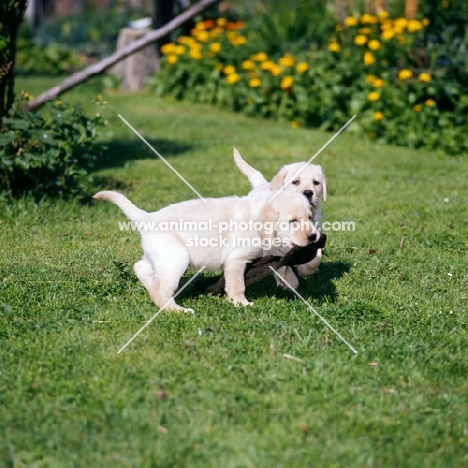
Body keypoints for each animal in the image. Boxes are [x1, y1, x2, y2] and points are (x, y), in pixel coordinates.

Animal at [92, 188, 318, 312]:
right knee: (161, 290)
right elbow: (237, 285)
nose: (314, 236)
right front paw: (241, 304)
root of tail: (148, 217)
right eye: (293, 221)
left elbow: (284, 268)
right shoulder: (235, 260)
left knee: (141, 268)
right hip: (177, 257)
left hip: (160, 256)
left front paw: (293, 287)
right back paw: (177, 310)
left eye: (309, 217)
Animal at [233, 150, 328, 288]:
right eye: (295, 182)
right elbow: (279, 262)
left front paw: (305, 269)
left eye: (316, 183)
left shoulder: (314, 231)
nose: (308, 192)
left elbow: (315, 258)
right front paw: (288, 280)